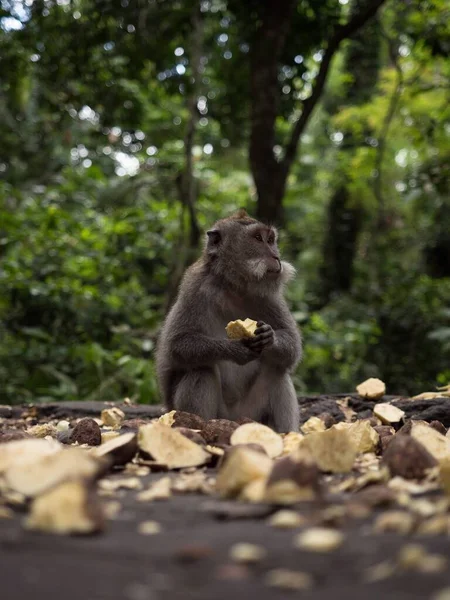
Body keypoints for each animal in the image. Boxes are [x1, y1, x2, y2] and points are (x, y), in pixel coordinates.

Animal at [156, 210, 302, 432]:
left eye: (271, 240)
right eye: (257, 238)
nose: (276, 256)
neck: (233, 286)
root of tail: (234, 420)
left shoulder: (270, 297)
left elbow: (291, 349)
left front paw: (269, 338)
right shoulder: (195, 287)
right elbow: (178, 344)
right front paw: (236, 349)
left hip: (251, 414)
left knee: (277, 371)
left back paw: (286, 434)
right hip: (218, 414)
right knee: (201, 370)